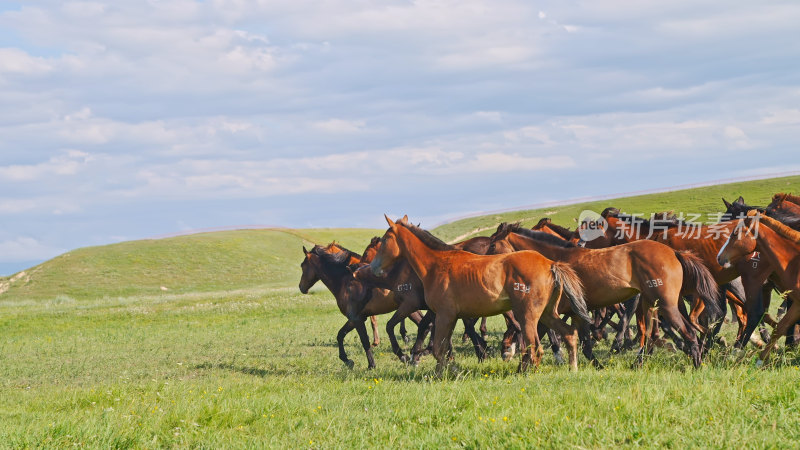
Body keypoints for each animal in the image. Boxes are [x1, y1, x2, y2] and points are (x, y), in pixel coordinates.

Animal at [370, 216, 592, 374]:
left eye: (385, 240)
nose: (372, 268)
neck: (437, 264)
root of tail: (550, 264)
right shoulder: (450, 317)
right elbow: (443, 348)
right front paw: (446, 370)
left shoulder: (444, 315)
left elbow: (438, 349)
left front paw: (444, 372)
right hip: (547, 313)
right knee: (568, 334)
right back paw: (572, 367)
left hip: (528, 315)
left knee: (535, 347)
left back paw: (526, 372)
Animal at [488, 223, 720, 368]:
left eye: (492, 244)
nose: (489, 267)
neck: (555, 261)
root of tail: (673, 253)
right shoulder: (573, 312)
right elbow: (583, 342)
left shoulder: (557, 311)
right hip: (649, 303)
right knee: (650, 336)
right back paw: (638, 364)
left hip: (666, 304)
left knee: (687, 332)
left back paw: (697, 363)